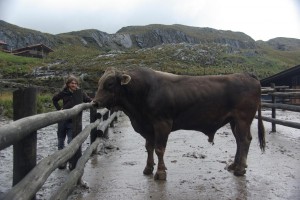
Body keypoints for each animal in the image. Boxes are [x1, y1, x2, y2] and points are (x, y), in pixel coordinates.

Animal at [94, 67, 264, 180]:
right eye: (99, 83)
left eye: (109, 84)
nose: (95, 102)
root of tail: (247, 74)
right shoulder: (148, 127)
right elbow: (149, 147)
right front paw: (148, 168)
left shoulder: (162, 124)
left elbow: (159, 149)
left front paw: (160, 172)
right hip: (234, 121)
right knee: (239, 141)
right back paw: (234, 165)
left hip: (243, 119)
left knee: (244, 140)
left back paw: (240, 169)